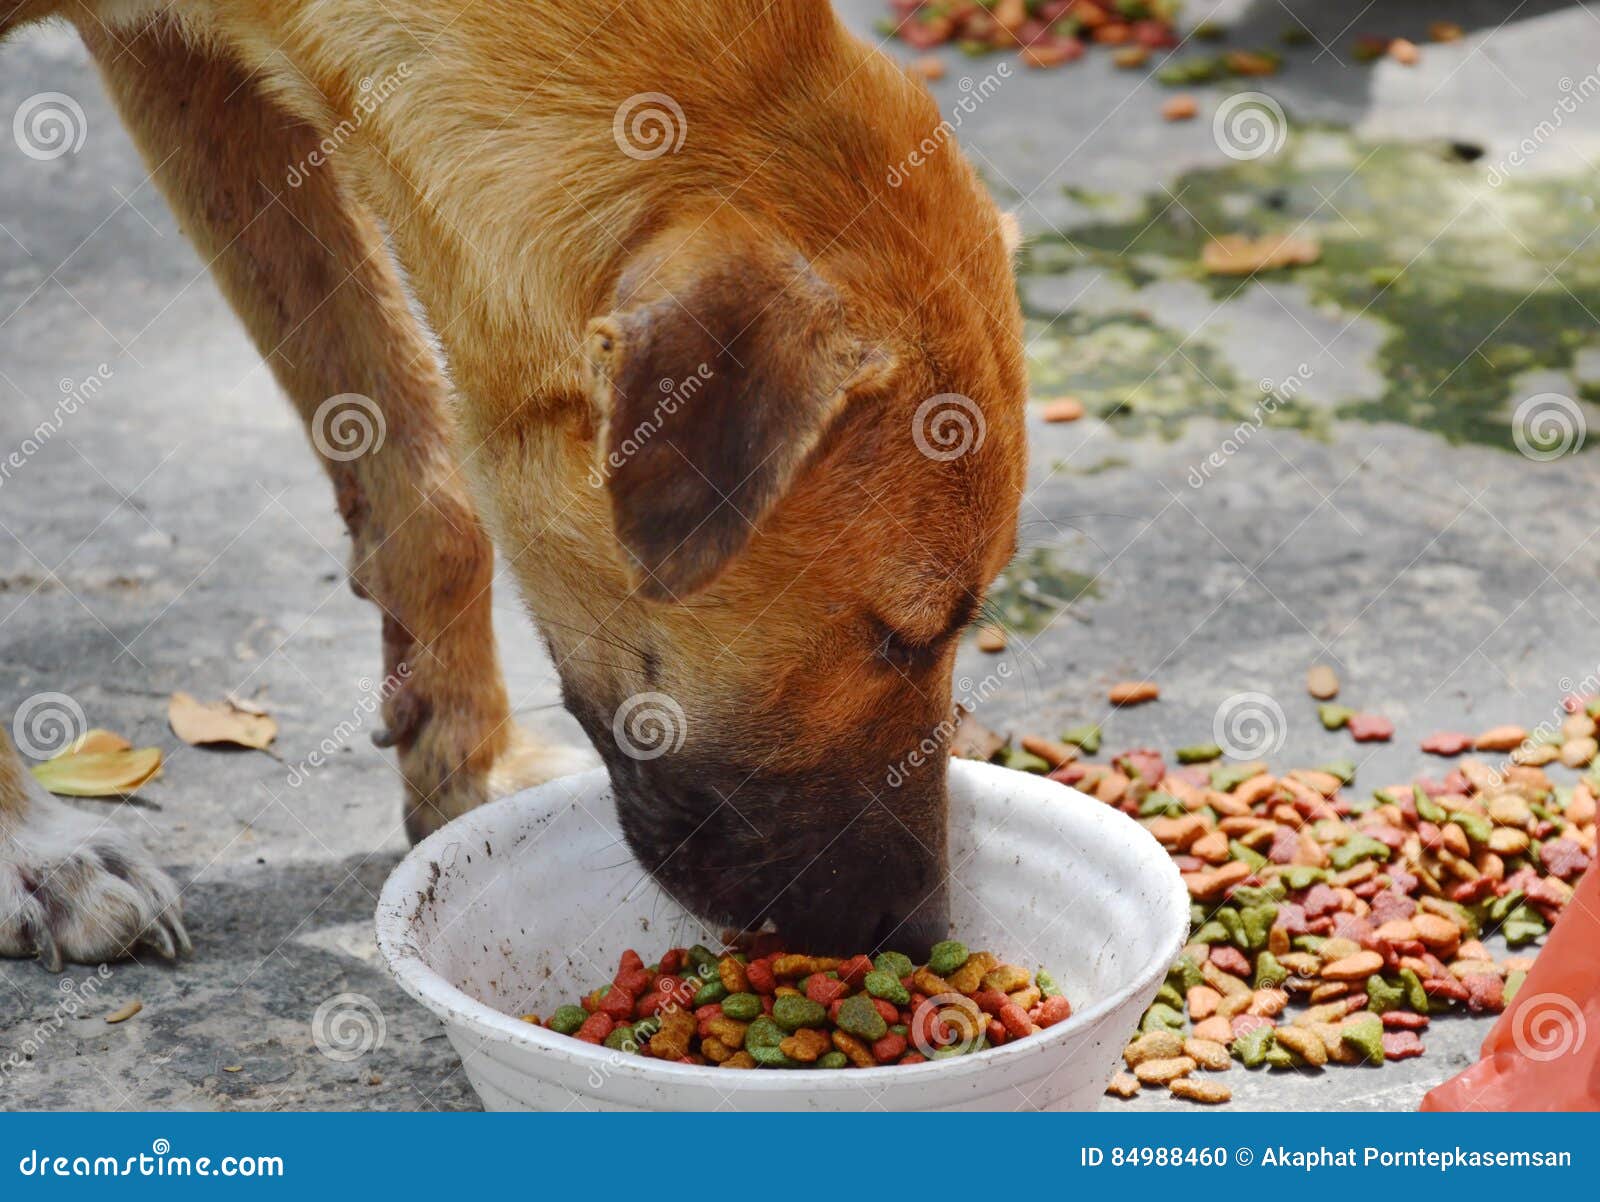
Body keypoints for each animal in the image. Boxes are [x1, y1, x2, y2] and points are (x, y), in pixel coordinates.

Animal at [0, 0, 1024, 973]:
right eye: (902, 637)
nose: (921, 932)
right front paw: (34, 851)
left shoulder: (189, 67)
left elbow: (429, 488)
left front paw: (466, 763)